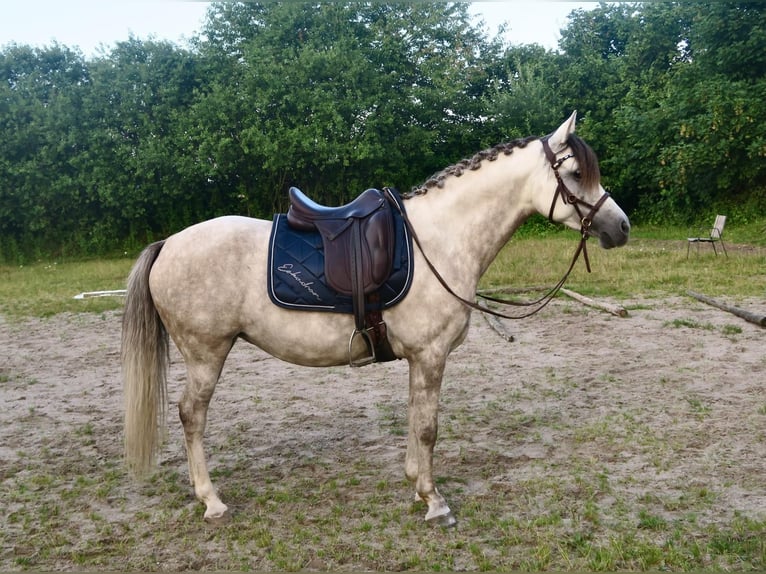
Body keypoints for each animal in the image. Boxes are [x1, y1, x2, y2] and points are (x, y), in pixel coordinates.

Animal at [123, 111, 632, 528]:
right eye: (575, 173)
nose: (622, 226)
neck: (439, 239)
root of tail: (167, 244)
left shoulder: (419, 359)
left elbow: (414, 419)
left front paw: (416, 486)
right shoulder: (431, 356)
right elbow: (428, 428)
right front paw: (434, 501)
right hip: (206, 353)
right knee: (192, 415)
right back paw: (211, 500)